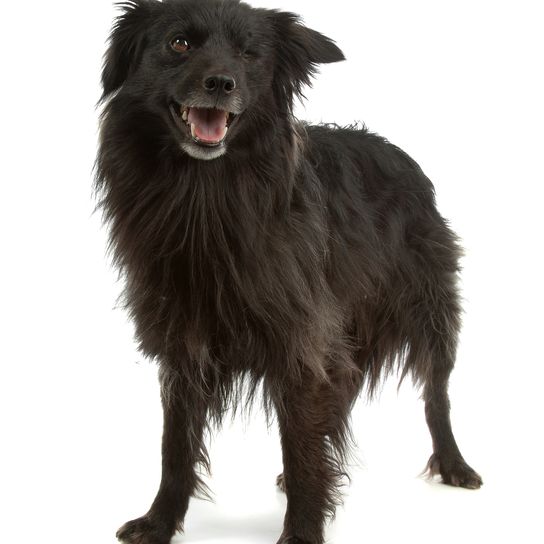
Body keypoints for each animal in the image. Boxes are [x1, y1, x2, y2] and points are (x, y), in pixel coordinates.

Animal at [95, 1, 482, 544]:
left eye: (249, 54)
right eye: (179, 44)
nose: (220, 83)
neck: (204, 195)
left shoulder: (300, 340)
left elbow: (301, 447)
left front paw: (301, 529)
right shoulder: (183, 345)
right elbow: (175, 446)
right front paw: (159, 522)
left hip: (431, 312)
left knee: (436, 394)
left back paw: (453, 464)